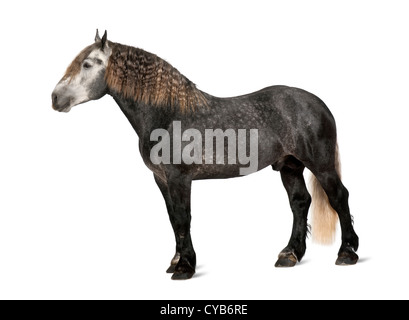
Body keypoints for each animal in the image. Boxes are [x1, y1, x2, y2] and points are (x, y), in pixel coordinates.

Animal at [51, 31, 356, 278]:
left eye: (87, 64)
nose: (55, 98)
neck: (168, 114)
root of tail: (317, 103)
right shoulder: (161, 180)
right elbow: (173, 218)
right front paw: (176, 261)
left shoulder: (179, 178)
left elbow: (183, 218)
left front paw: (185, 267)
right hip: (289, 166)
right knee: (299, 202)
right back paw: (290, 254)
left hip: (320, 165)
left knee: (339, 197)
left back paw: (347, 253)